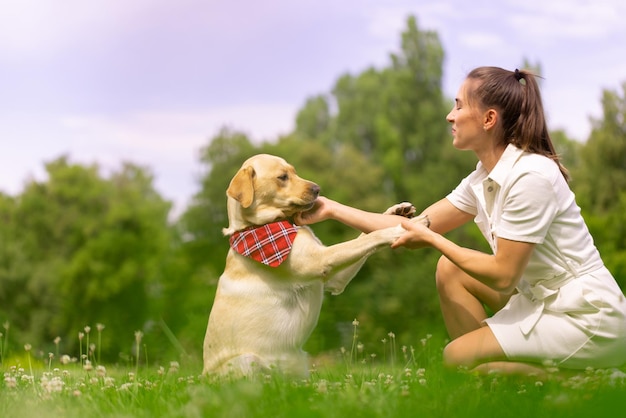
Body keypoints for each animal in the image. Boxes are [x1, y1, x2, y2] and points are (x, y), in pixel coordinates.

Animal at [202, 153, 426, 378]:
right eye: (282, 177)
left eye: (294, 171)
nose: (318, 189)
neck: (255, 226)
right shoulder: (322, 260)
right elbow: (371, 237)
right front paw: (401, 229)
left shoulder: (335, 279)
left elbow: (364, 236)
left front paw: (398, 211)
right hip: (247, 361)